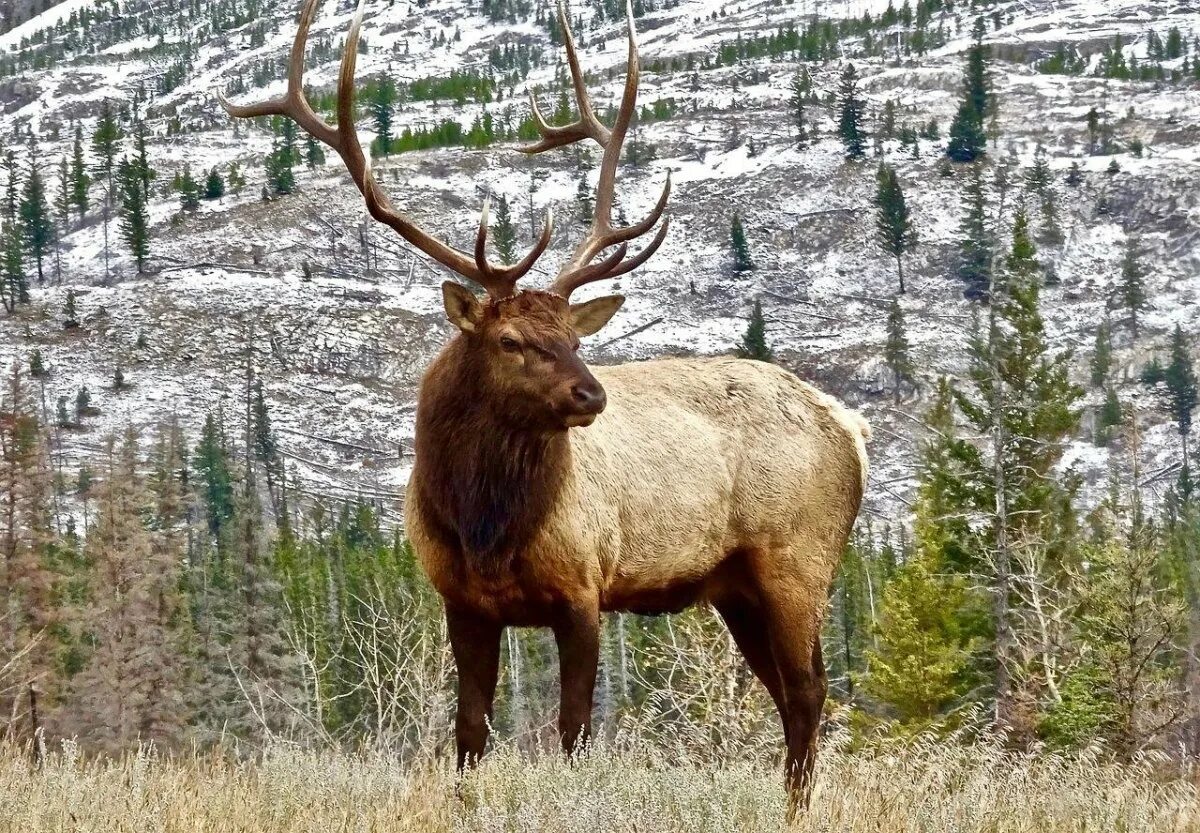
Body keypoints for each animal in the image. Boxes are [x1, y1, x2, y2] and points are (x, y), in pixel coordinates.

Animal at [220, 0, 868, 811]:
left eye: (574, 336)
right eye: (511, 339)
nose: (592, 393)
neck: (484, 524)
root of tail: (851, 427)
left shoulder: (583, 587)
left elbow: (573, 730)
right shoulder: (461, 600)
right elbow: (469, 730)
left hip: (798, 557)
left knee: (810, 690)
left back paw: (797, 804)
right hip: (737, 587)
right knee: (789, 692)